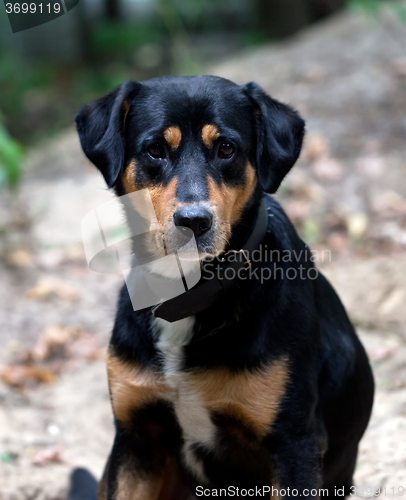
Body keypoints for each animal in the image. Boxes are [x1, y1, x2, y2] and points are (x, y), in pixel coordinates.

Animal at [73, 75, 374, 500]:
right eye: (155, 149)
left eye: (226, 148)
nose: (194, 220)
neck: (187, 295)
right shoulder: (136, 438)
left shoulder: (294, 443)